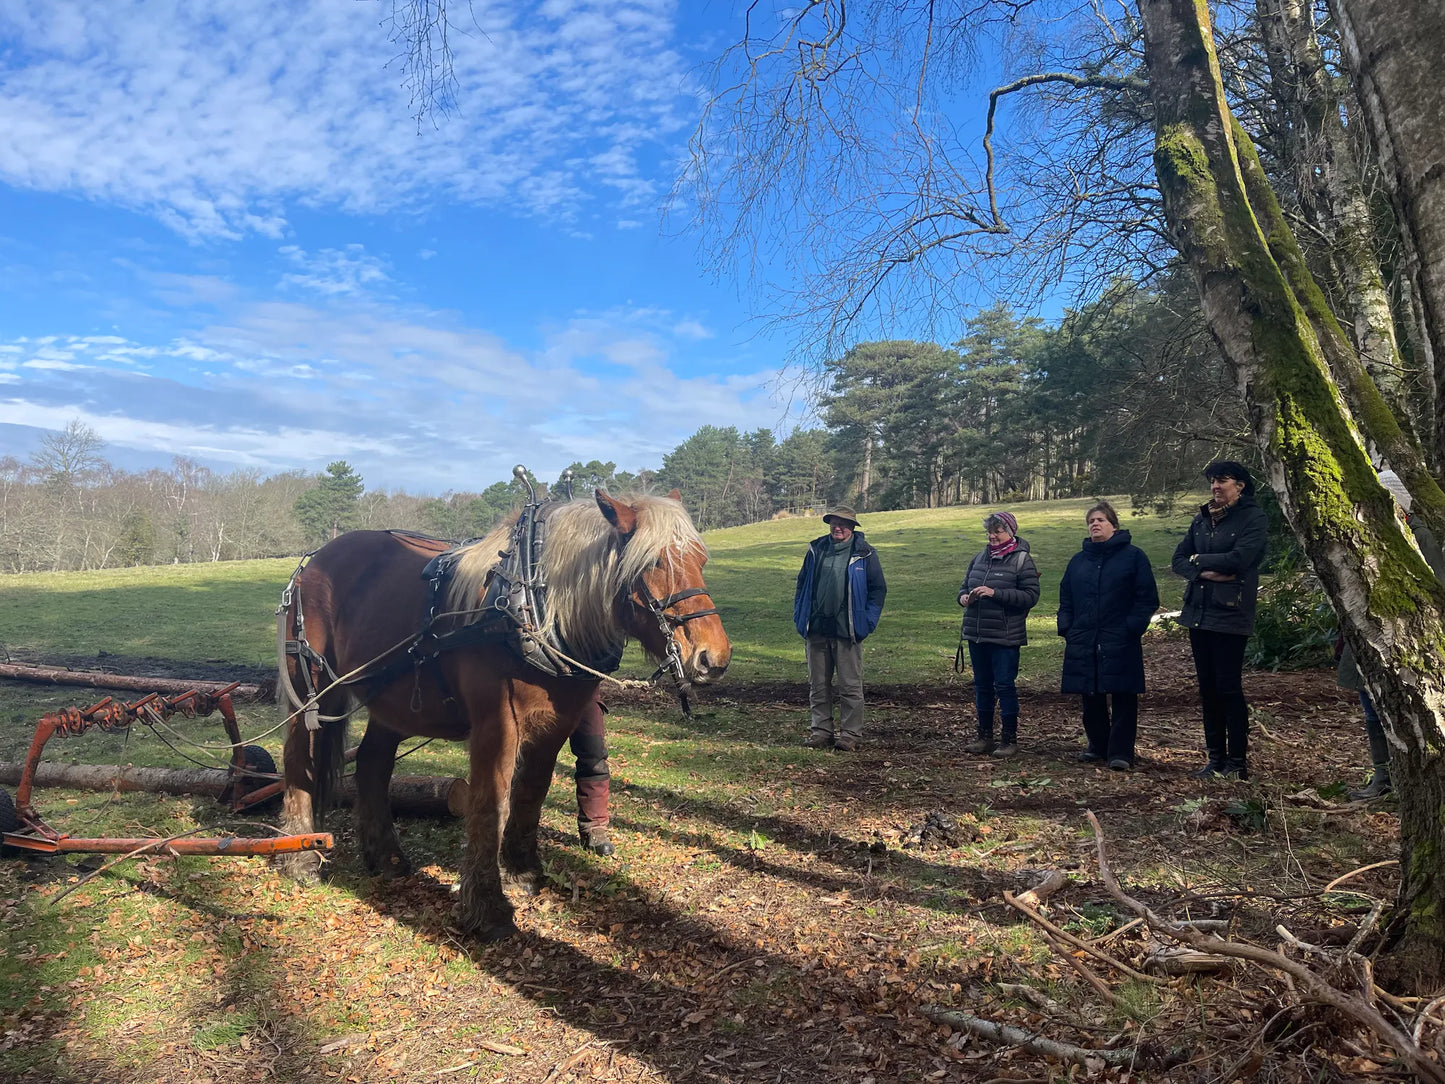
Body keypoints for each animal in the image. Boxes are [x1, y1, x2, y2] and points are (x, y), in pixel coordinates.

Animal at [274, 494, 734, 942]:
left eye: (700, 560)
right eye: (653, 563)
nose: (713, 658)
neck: (533, 607)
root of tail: (312, 561)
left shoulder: (555, 725)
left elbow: (531, 792)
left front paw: (522, 870)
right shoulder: (497, 725)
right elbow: (489, 804)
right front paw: (487, 908)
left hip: (392, 699)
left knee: (372, 764)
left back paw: (386, 857)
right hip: (312, 687)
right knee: (299, 760)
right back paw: (301, 857)